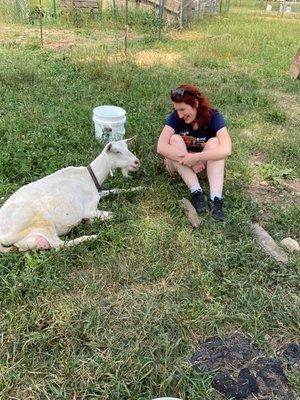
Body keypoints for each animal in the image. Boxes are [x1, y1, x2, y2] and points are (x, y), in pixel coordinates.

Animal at [0, 139, 141, 252]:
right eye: (117, 152)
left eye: (127, 148)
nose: (137, 162)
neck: (88, 177)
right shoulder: (89, 209)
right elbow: (114, 214)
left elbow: (116, 190)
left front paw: (140, 188)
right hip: (41, 220)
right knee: (59, 245)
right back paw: (92, 236)